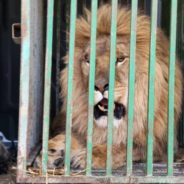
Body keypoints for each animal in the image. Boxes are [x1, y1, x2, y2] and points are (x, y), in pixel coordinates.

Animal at [34, 4, 183, 170]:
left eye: (120, 59)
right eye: (88, 60)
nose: (99, 86)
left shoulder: (159, 146)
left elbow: (123, 146)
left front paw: (90, 155)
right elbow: (74, 134)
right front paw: (52, 150)